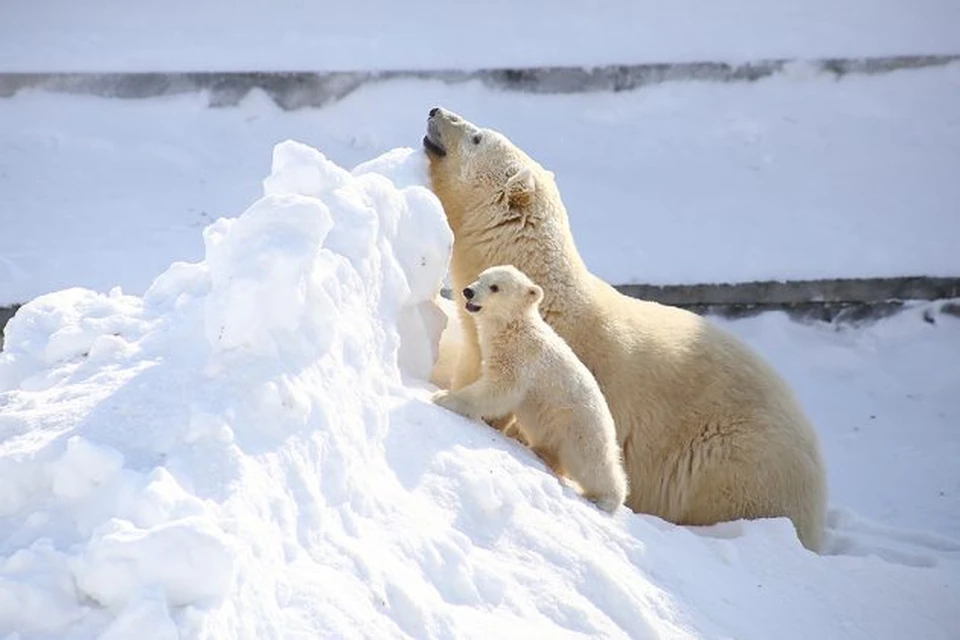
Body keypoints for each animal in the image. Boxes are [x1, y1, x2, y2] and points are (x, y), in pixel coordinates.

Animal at [432, 262, 628, 512]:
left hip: (579, 424)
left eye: (495, 287)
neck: (514, 328)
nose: (468, 291)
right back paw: (541, 453)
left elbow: (501, 388)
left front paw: (445, 397)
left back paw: (606, 499)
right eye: (480, 276)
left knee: (591, 462)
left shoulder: (521, 358)